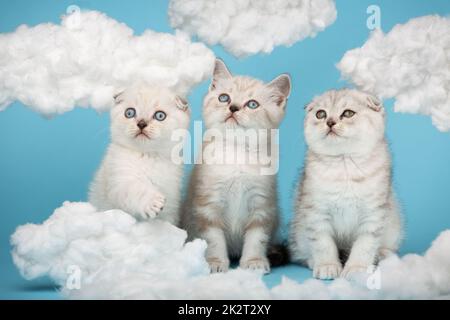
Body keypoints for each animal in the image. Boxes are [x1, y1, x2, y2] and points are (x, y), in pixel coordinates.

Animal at [89, 85, 190, 225]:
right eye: (130, 113)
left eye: (160, 116)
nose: (141, 124)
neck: (148, 156)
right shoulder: (117, 183)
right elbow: (134, 189)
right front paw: (152, 202)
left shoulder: (172, 200)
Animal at [183, 59, 292, 272]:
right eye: (224, 98)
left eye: (252, 104)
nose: (233, 108)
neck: (237, 152)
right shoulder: (208, 205)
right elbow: (213, 238)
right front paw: (215, 262)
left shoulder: (262, 204)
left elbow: (257, 238)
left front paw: (254, 261)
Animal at [290, 89, 402, 278]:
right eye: (321, 114)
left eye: (348, 113)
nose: (330, 122)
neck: (344, 164)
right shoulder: (316, 212)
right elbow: (323, 243)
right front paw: (327, 265)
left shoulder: (373, 213)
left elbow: (365, 245)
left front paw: (357, 268)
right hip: (298, 232)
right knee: (301, 253)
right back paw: (313, 261)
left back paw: (382, 255)